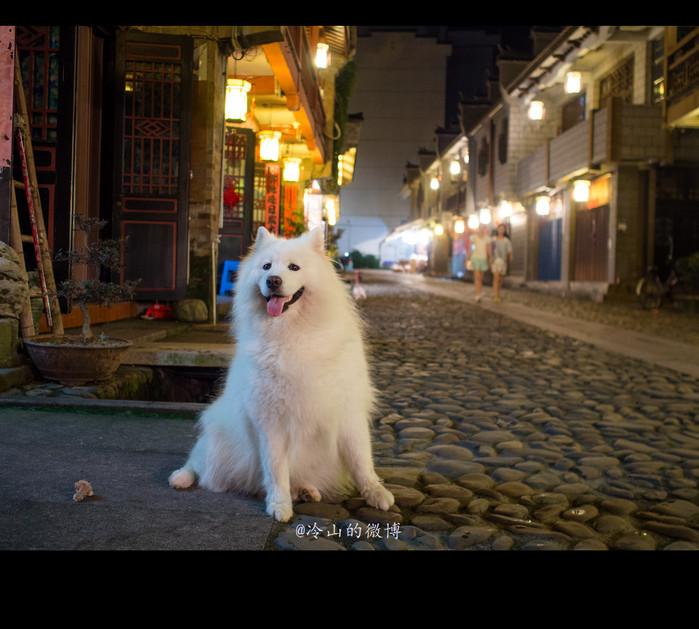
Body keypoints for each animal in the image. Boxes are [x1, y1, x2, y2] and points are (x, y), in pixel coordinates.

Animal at [168, 224, 394, 520]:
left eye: (293, 267)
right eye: (266, 266)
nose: (273, 280)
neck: (293, 333)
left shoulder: (348, 414)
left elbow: (361, 460)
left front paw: (376, 493)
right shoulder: (270, 422)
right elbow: (276, 469)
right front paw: (279, 504)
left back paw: (305, 490)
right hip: (216, 432)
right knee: (197, 461)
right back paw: (182, 477)